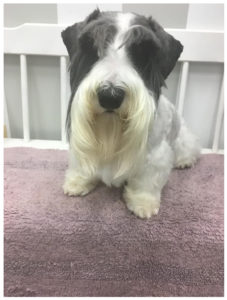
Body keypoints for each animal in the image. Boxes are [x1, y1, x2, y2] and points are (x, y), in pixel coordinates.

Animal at [60, 9, 200, 219]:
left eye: (141, 53)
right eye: (92, 49)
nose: (110, 96)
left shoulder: (154, 155)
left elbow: (146, 181)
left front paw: (143, 203)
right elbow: (80, 165)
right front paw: (78, 181)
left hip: (183, 138)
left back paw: (184, 162)